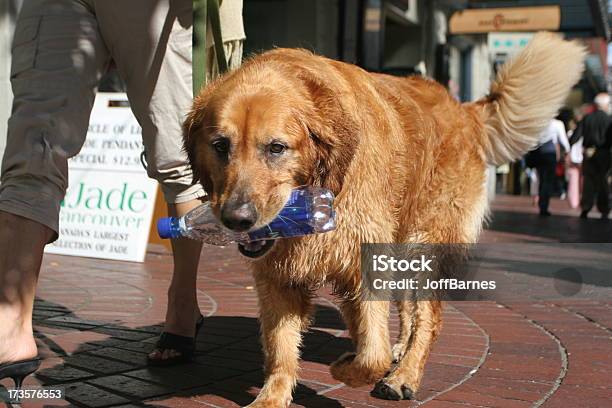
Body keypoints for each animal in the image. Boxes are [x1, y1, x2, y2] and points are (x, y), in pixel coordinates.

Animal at [184, 32, 584, 404]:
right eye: (220, 146)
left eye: (276, 148)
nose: (237, 219)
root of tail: (462, 108)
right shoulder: (278, 275)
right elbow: (281, 346)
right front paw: (271, 397)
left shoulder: (363, 259)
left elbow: (370, 354)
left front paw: (348, 366)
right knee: (408, 310)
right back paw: (402, 351)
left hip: (425, 241)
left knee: (429, 318)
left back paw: (403, 375)